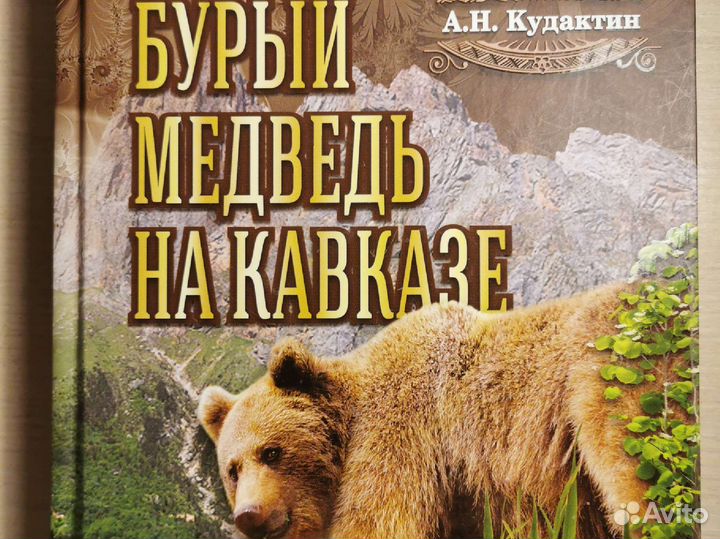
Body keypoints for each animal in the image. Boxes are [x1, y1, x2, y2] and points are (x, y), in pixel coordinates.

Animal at [198, 284, 681, 539]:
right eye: (232, 470)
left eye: (272, 452)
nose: (249, 515)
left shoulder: (400, 438)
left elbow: (379, 523)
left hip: (610, 386)